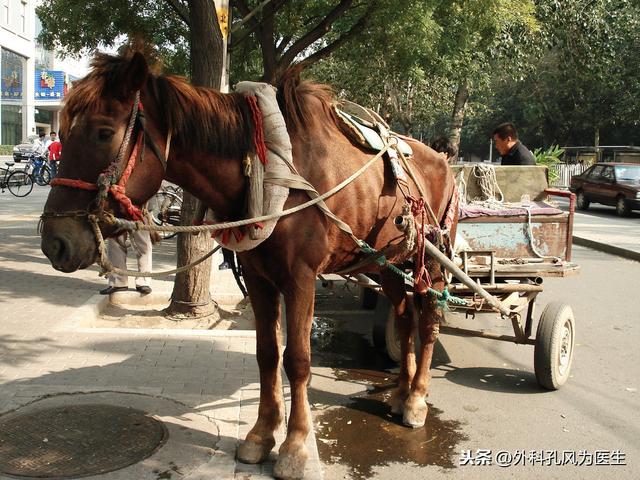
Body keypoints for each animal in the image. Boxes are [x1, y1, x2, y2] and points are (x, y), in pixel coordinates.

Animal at [40, 50, 458, 478]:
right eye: (64, 133)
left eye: (104, 132)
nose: (55, 242)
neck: (271, 167)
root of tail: (443, 160)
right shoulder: (259, 277)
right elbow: (267, 354)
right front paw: (261, 435)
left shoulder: (301, 278)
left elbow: (298, 360)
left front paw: (294, 447)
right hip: (386, 262)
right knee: (404, 315)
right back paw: (401, 390)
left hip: (433, 261)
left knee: (427, 321)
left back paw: (416, 399)